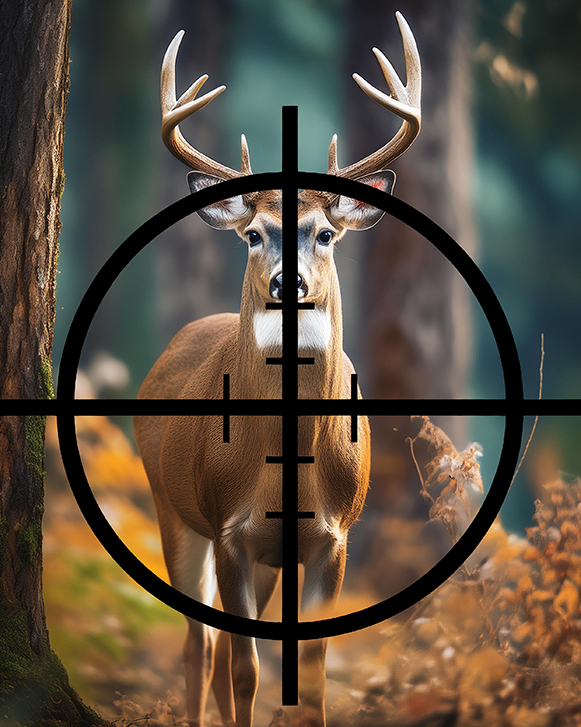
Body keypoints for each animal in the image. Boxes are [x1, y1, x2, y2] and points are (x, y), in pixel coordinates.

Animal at [133, 12, 420, 727]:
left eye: (325, 232)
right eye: (255, 233)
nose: (287, 283)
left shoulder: (333, 539)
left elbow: (309, 674)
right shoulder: (228, 530)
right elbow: (244, 668)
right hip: (172, 508)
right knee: (202, 647)